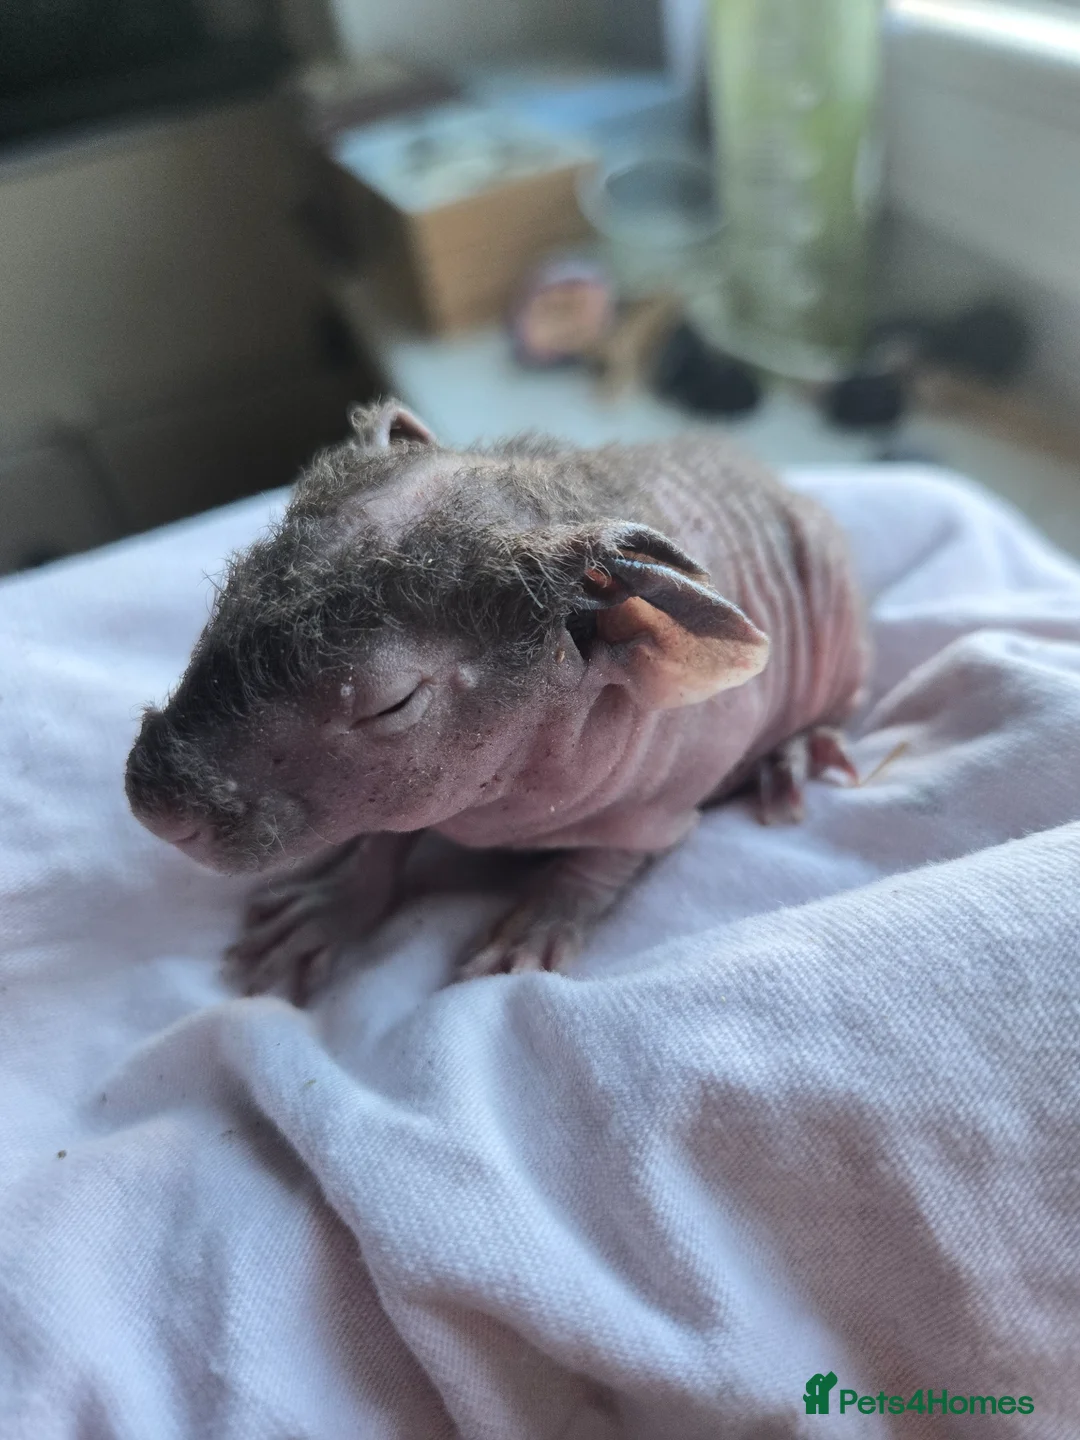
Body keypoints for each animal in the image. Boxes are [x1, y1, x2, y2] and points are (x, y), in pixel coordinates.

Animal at [125, 400, 867, 1002]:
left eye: (391, 705)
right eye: (230, 596)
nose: (157, 804)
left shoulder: (671, 790)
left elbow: (609, 858)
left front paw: (539, 920)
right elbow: (385, 834)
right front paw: (332, 900)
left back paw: (796, 752)